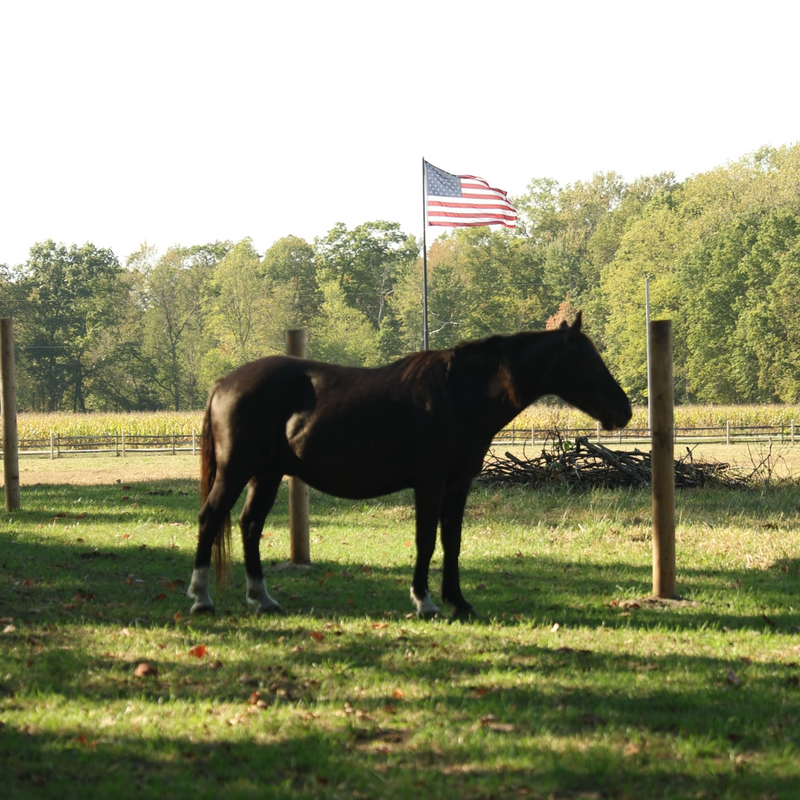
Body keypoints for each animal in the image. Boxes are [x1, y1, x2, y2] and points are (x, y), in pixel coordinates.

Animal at [187, 313, 632, 619]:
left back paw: (262, 598)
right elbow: (426, 540)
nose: (624, 410)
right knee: (211, 518)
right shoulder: (430, 482)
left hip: (266, 474)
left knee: (249, 525)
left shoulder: (459, 484)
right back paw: (202, 598)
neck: (458, 393)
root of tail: (225, 382)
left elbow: (452, 540)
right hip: (236, 471)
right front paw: (425, 601)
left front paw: (459, 601)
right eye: (587, 362)